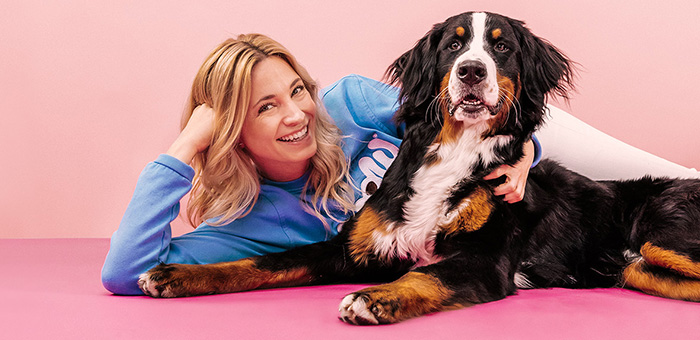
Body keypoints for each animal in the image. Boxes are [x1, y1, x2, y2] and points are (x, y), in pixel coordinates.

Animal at [138, 10, 700, 324]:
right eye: (453, 44)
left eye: (501, 46)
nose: (470, 70)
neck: (453, 153)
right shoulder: (354, 248)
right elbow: (263, 262)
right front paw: (177, 275)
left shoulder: (483, 260)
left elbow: (425, 276)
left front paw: (375, 300)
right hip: (638, 267)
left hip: (661, 235)